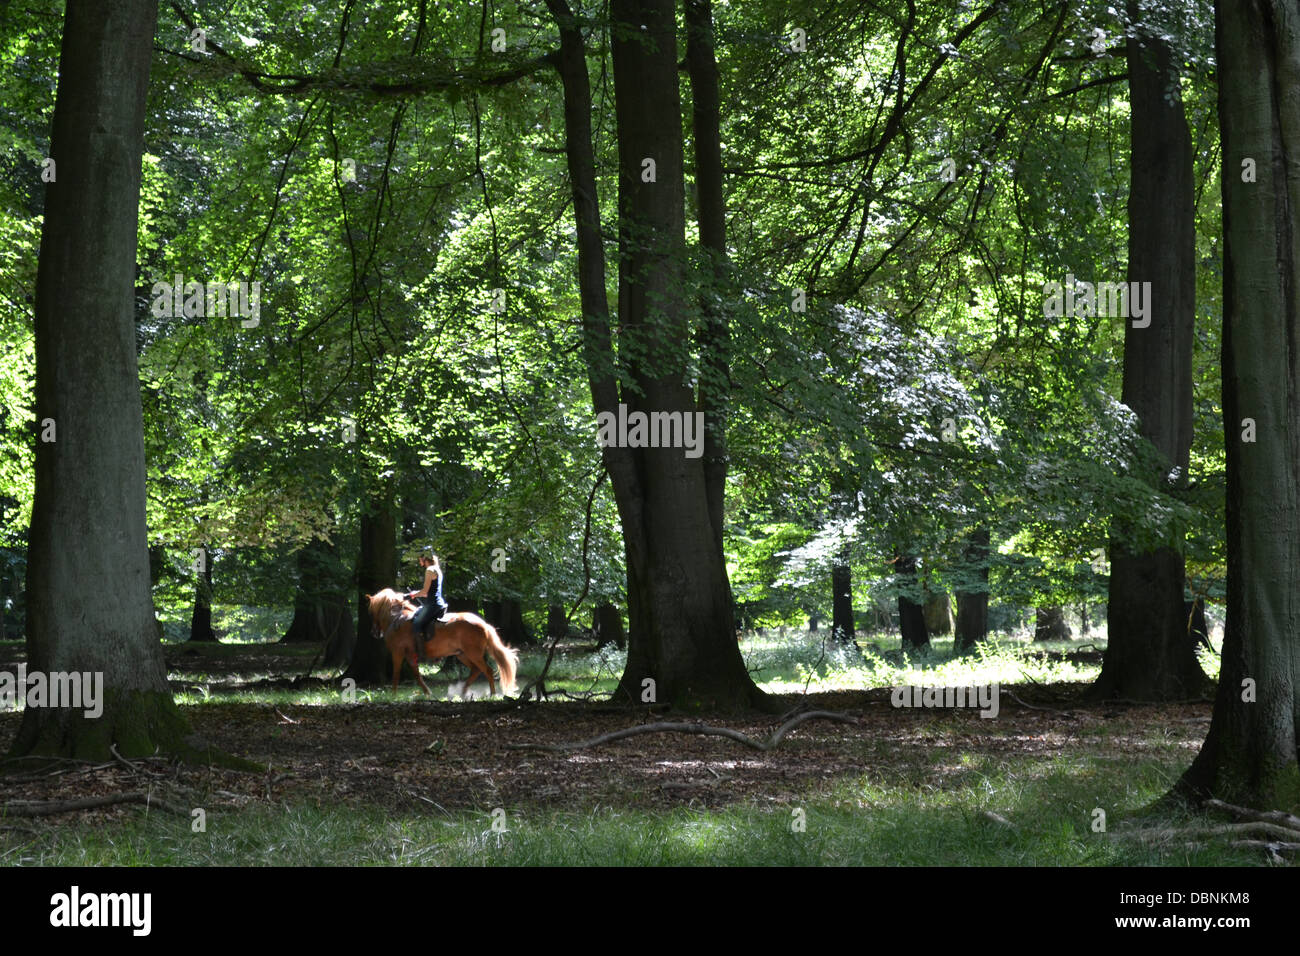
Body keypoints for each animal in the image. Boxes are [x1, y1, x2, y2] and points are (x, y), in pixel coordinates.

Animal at [364, 590, 520, 697]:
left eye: (371, 612)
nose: (373, 632)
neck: (397, 619)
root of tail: (484, 625)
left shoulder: (398, 653)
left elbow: (396, 674)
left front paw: (393, 695)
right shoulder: (410, 655)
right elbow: (417, 675)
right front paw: (427, 693)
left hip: (473, 654)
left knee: (487, 670)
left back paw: (492, 694)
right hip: (462, 655)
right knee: (476, 670)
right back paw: (463, 692)